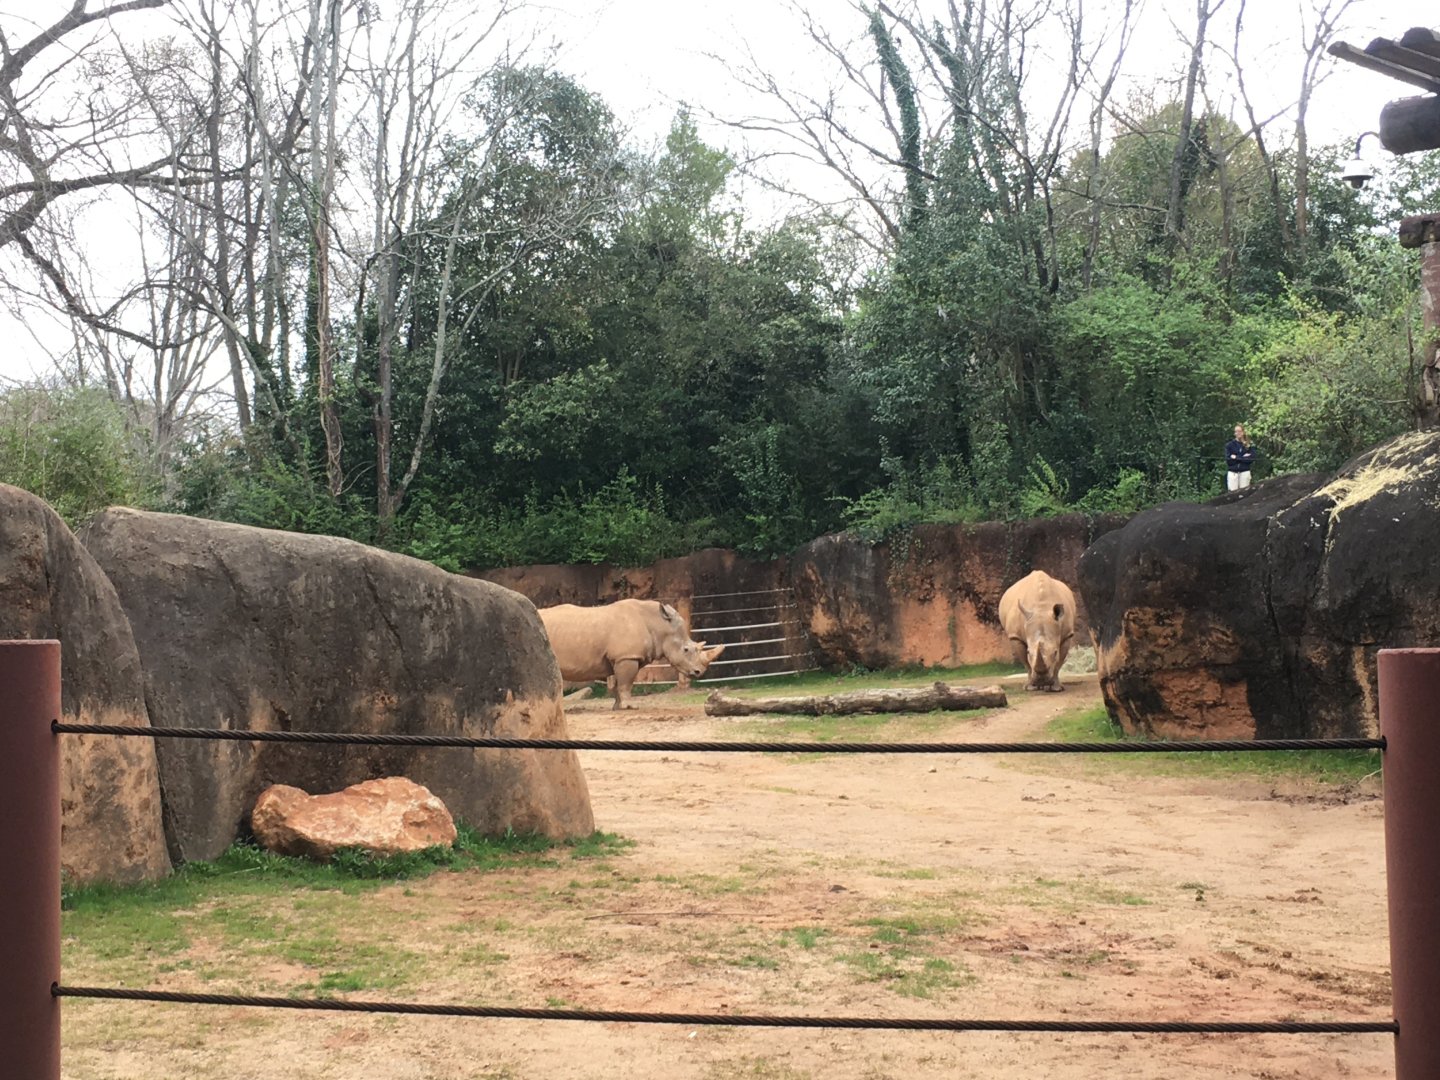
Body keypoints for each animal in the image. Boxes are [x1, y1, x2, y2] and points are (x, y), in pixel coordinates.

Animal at [538, 599, 709, 709]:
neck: (658, 624)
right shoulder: (627, 656)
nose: (699, 672)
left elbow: (620, 683)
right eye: (686, 650)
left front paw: (617, 706)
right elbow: (626, 682)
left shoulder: (621, 657)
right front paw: (630, 706)